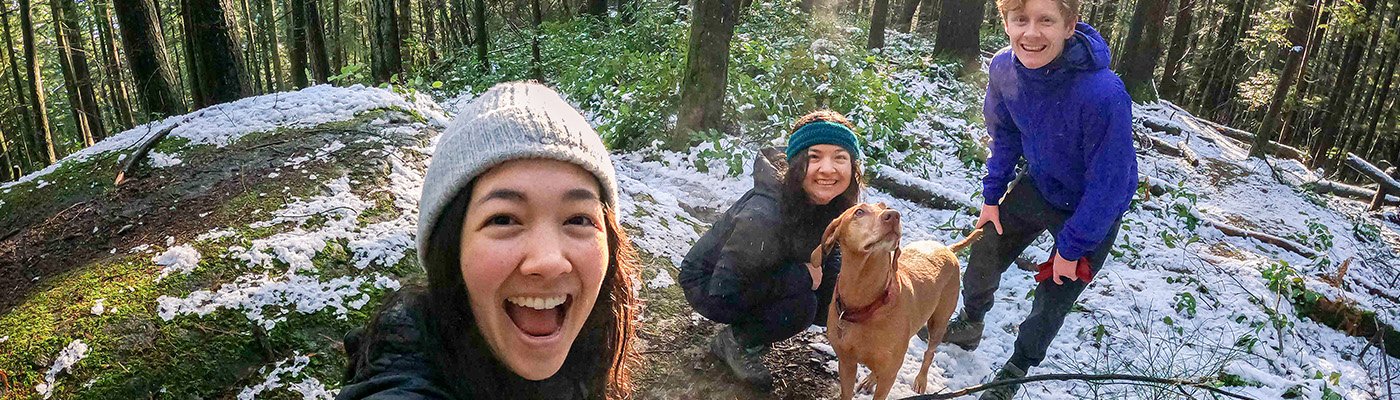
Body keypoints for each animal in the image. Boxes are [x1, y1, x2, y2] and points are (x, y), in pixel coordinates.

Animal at [812, 202, 985, 400]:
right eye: (859, 212)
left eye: (885, 207)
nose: (894, 215)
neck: (866, 303)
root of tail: (947, 249)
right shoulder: (846, 363)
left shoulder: (889, 375)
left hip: (939, 322)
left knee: (930, 353)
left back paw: (920, 380)